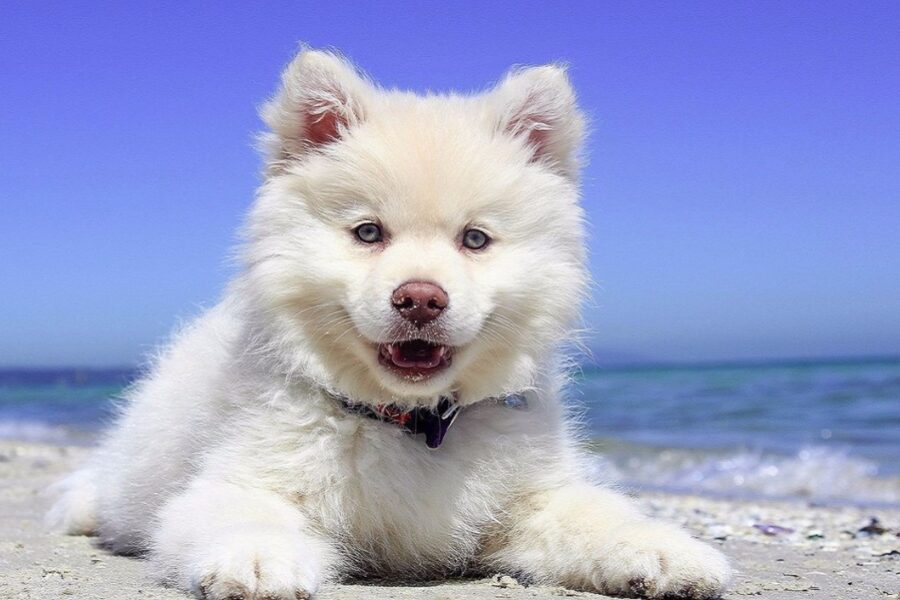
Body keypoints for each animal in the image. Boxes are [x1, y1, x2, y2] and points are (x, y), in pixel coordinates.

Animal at [49, 48, 732, 600]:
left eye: (474, 239)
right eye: (368, 232)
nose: (420, 299)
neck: (412, 423)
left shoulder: (531, 498)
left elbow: (600, 515)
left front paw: (666, 550)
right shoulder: (239, 476)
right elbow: (245, 513)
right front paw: (258, 559)